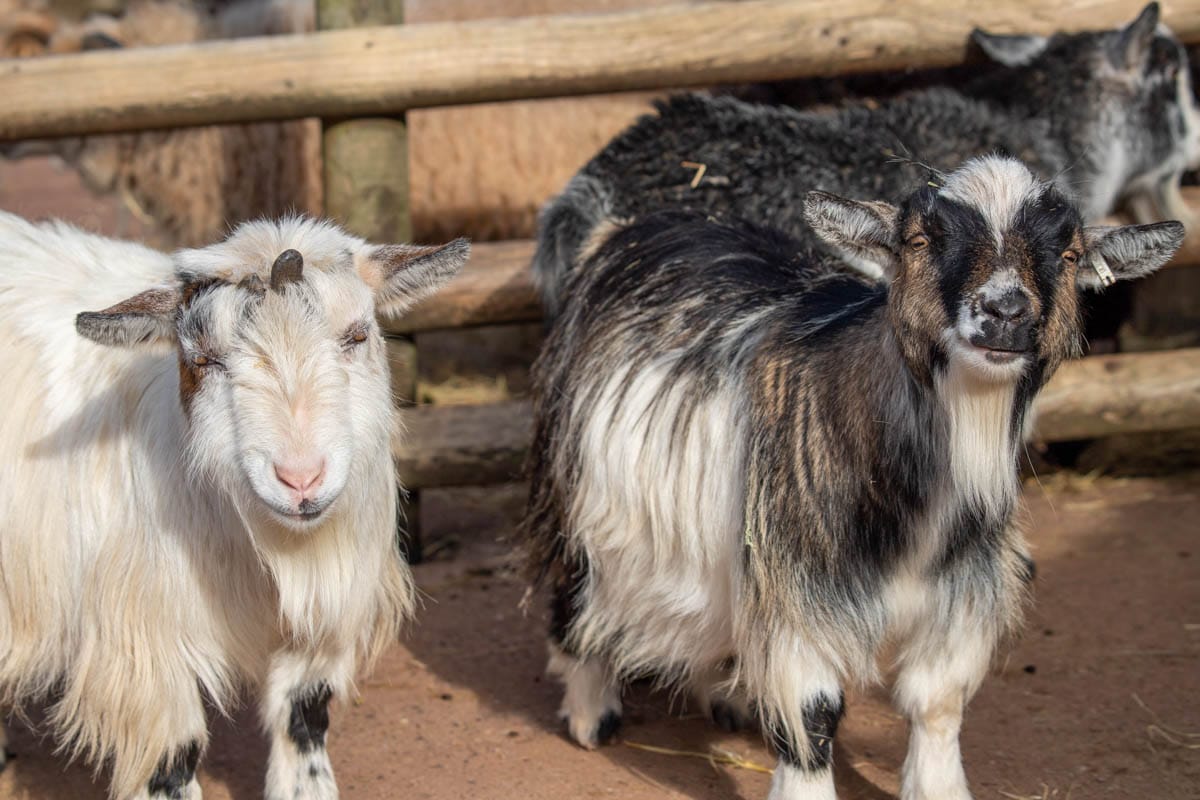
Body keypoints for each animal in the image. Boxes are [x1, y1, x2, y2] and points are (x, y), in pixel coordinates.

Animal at [0, 212, 468, 799]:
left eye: (358, 335)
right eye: (204, 360)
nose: (300, 478)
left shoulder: (323, 617)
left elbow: (303, 716)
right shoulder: (146, 649)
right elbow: (173, 760)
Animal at [522, 156, 1183, 800]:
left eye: (1068, 255)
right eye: (919, 240)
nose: (1005, 312)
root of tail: (627, 229)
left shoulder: (962, 590)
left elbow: (937, 703)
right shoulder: (798, 582)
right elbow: (814, 714)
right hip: (576, 489)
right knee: (577, 588)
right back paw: (591, 710)